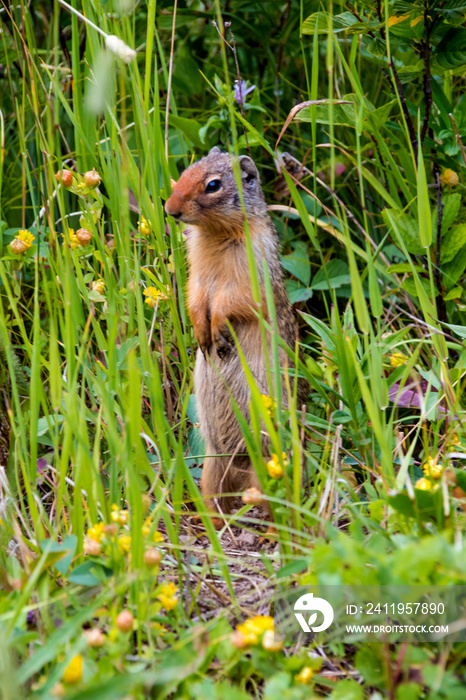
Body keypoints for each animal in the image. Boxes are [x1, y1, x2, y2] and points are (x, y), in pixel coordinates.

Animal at [165, 146, 310, 520]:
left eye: (213, 185)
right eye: (185, 171)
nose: (170, 210)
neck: (214, 235)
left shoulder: (249, 274)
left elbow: (232, 302)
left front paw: (217, 332)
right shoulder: (197, 276)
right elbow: (195, 299)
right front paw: (201, 334)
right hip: (213, 468)